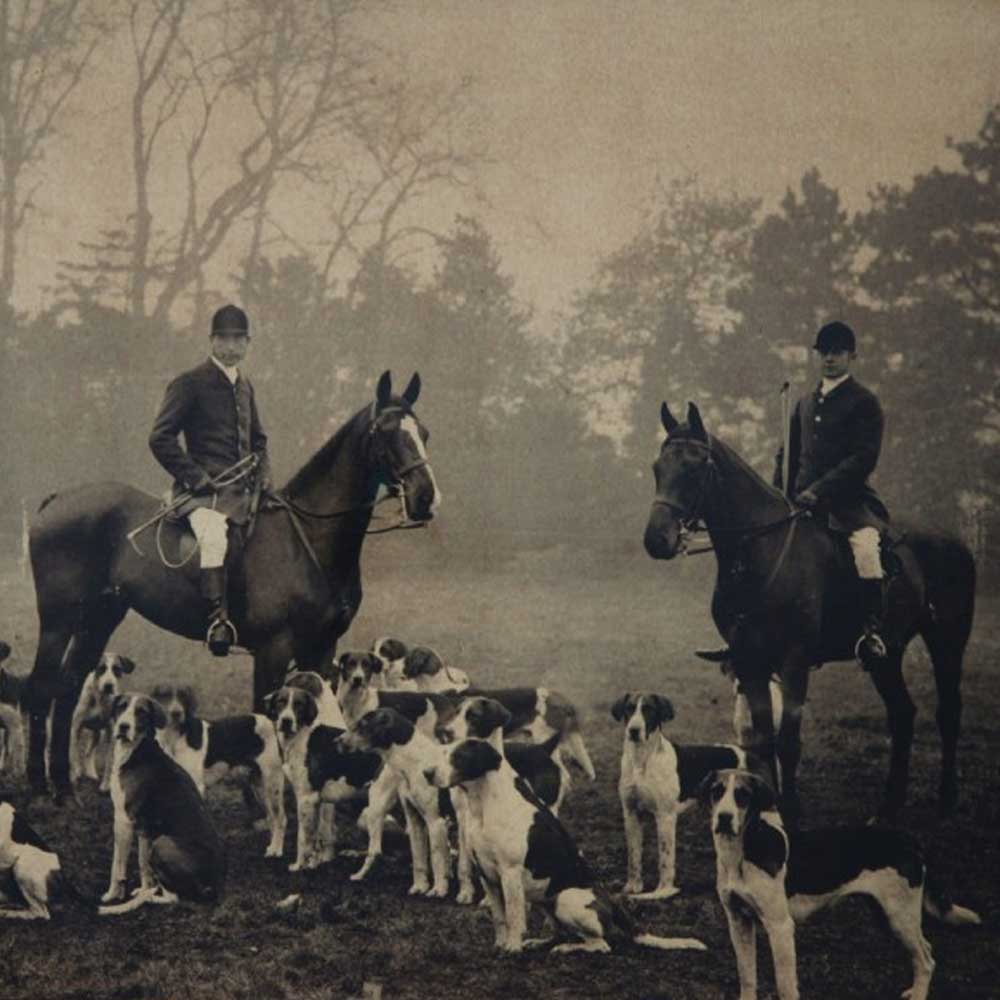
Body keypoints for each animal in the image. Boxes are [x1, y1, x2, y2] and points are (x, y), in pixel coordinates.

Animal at [22, 372, 438, 800]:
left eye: (423, 432)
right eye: (384, 432)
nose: (425, 498)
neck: (308, 536)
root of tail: (58, 498)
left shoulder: (322, 648)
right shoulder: (273, 650)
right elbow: (265, 722)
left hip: (100, 617)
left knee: (67, 688)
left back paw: (62, 786)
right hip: (58, 619)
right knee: (42, 687)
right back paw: (38, 782)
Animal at [640, 402, 976, 824]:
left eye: (695, 467)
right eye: (658, 467)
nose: (656, 540)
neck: (759, 553)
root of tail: (955, 541)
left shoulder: (794, 660)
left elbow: (788, 742)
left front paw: (793, 813)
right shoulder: (750, 660)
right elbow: (763, 742)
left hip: (947, 640)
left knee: (948, 711)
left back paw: (946, 798)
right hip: (888, 654)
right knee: (903, 714)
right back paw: (888, 806)